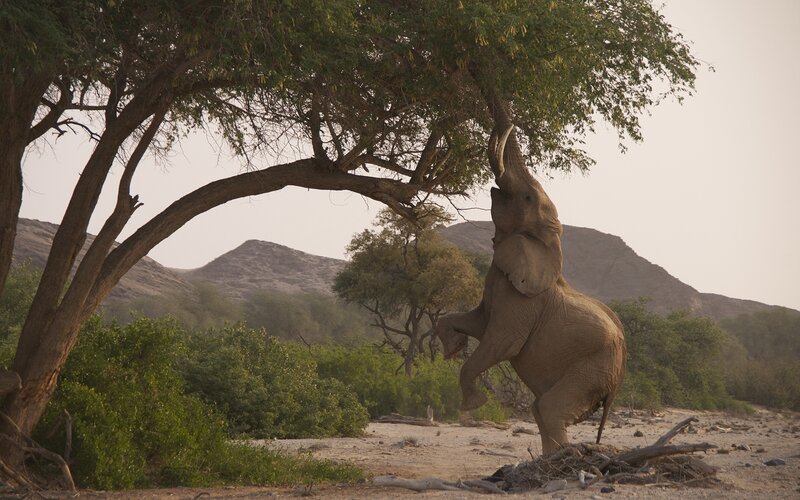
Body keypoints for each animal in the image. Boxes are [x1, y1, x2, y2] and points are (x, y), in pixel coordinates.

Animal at [433, 99, 626, 455]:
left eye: (527, 199)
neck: (550, 243)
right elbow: (477, 323)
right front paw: (453, 347)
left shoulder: (523, 302)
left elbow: (501, 342)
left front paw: (474, 403)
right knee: (541, 409)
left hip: (595, 368)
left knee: (549, 408)